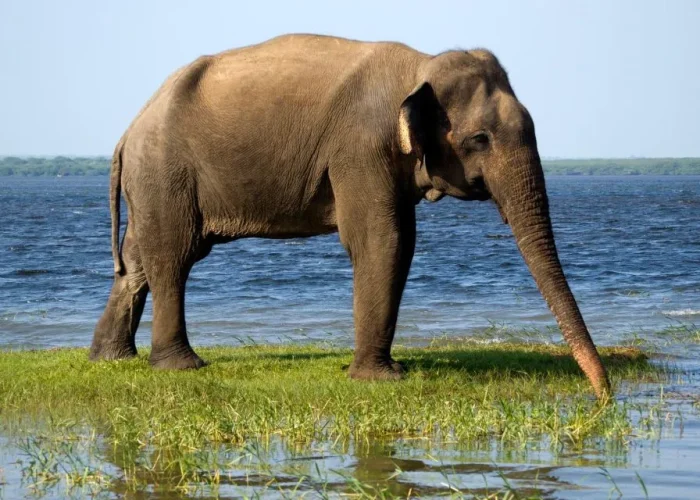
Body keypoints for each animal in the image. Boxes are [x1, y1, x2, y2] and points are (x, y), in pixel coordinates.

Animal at [90, 34, 610, 399]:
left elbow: (401, 242)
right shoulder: (361, 147)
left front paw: (386, 372)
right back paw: (180, 366)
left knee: (137, 260)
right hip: (166, 172)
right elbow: (383, 239)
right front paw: (381, 380)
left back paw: (111, 359)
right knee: (173, 257)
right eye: (479, 139)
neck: (419, 65)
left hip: (154, 180)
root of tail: (128, 130)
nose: (603, 395)